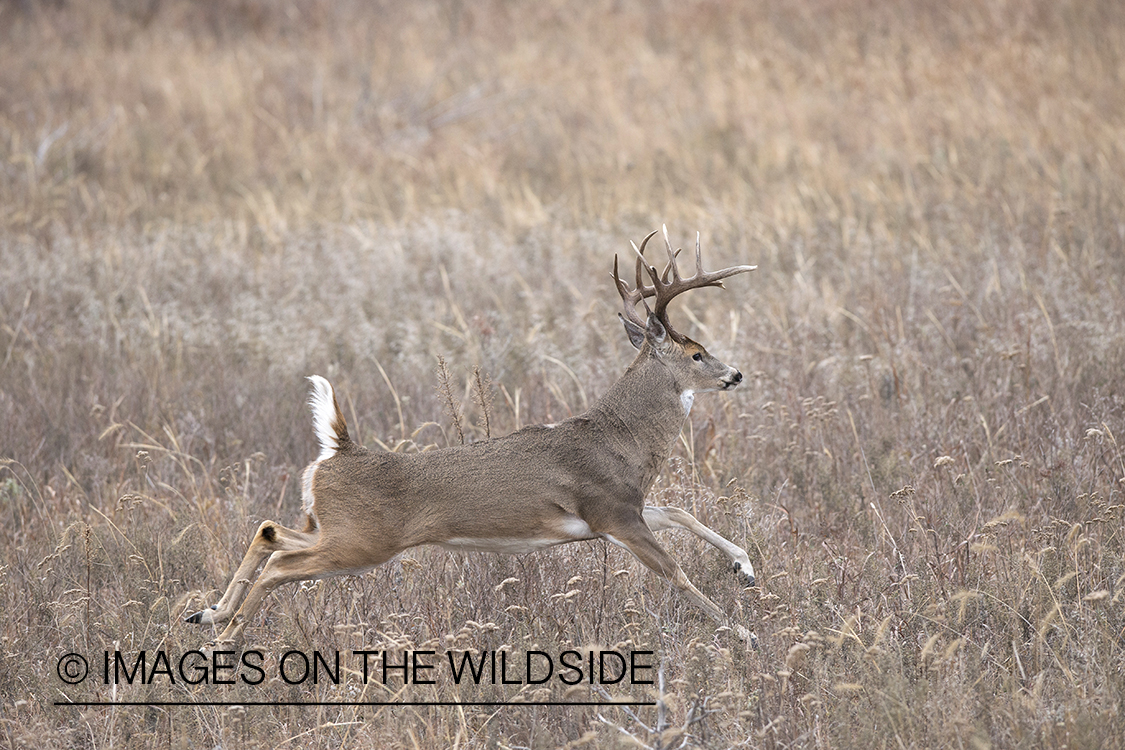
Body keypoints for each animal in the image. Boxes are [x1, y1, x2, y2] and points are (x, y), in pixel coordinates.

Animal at [189, 227, 760, 647]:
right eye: (697, 354)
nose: (735, 374)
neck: (624, 443)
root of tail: (336, 452)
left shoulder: (623, 509)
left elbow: (681, 513)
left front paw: (746, 567)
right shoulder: (612, 511)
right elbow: (676, 572)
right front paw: (743, 632)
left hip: (330, 527)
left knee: (270, 532)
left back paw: (209, 614)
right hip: (362, 541)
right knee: (281, 563)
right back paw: (225, 637)